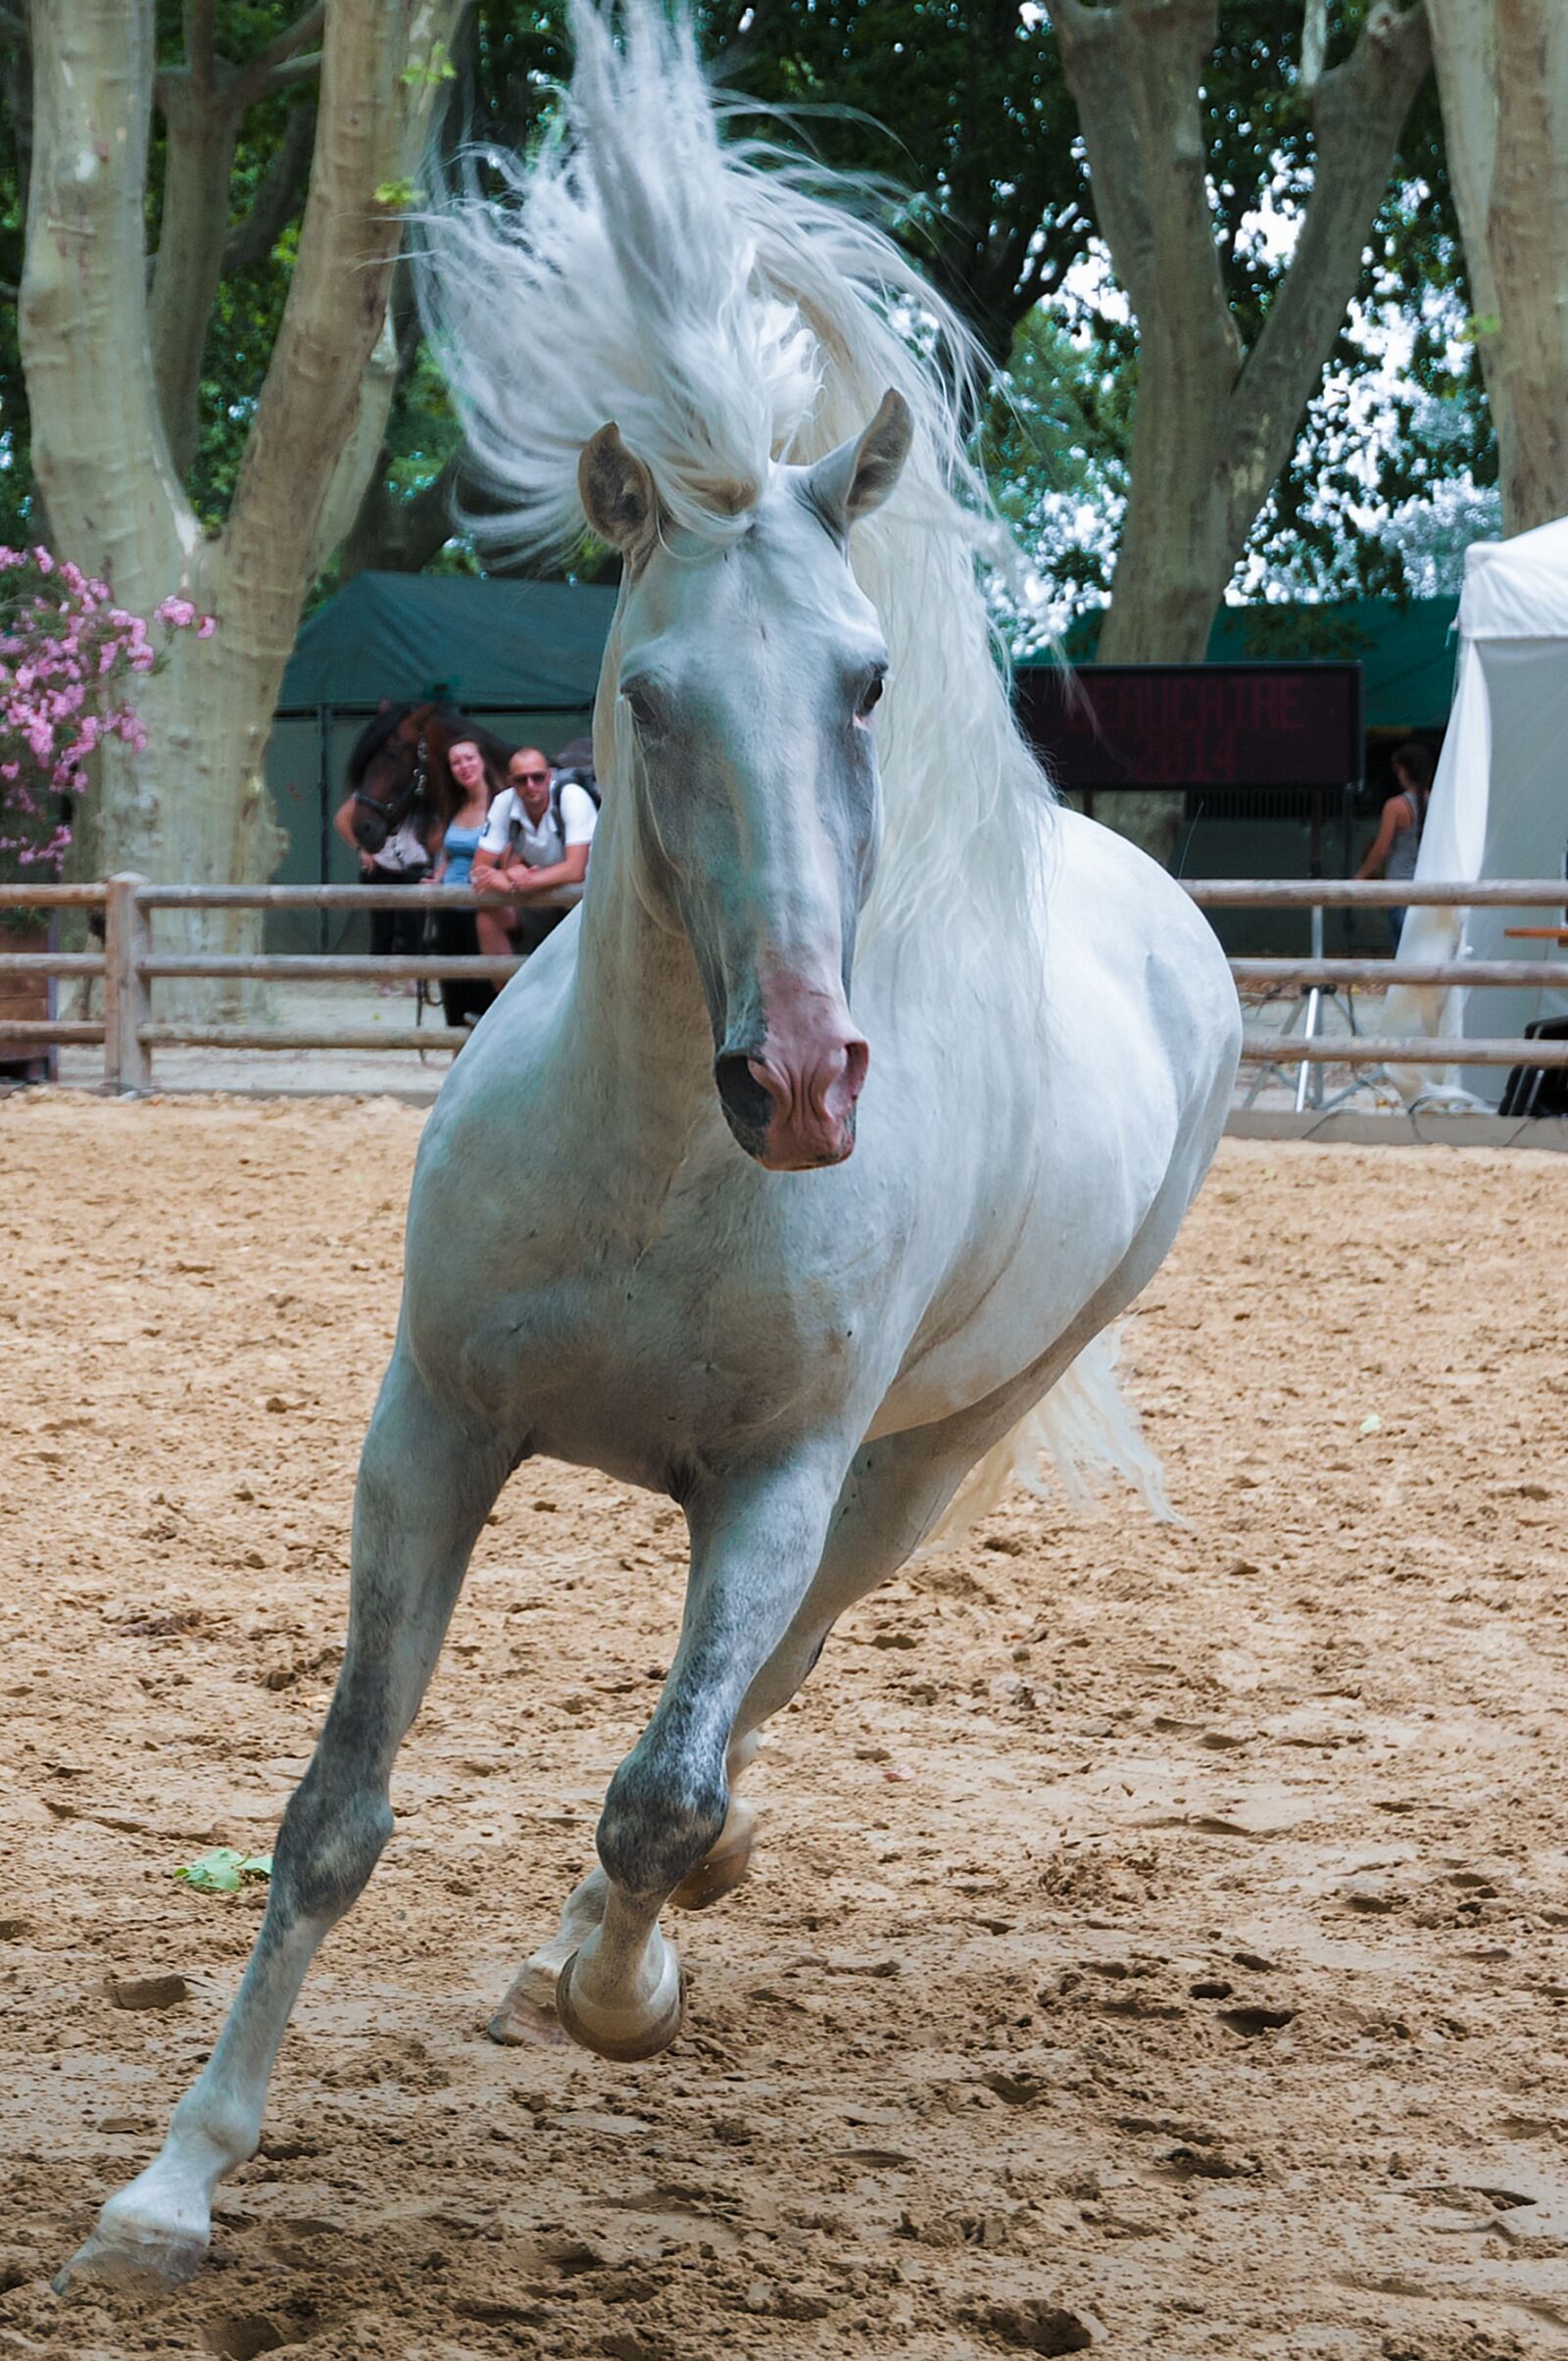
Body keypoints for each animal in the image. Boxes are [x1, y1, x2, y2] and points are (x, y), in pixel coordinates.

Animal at [57, 0, 1240, 2294]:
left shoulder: (772, 1478)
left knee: (762, 1687)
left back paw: (620, 1935)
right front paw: (175, 2177)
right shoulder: (431, 1422)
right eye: (649, 690)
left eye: (865, 682)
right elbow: (334, 1811)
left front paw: (621, 1983)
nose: (806, 1083)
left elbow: (661, 1784)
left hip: (920, 1459)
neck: (650, 1182)